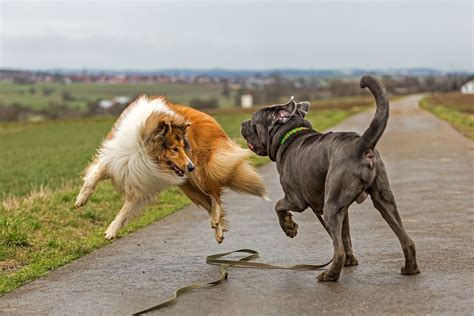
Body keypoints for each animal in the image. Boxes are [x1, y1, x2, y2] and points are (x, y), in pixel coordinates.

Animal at [243, 76, 420, 282]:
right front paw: (351, 261)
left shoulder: (295, 199)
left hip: (331, 207)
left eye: (253, 119)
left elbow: (278, 205)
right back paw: (410, 268)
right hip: (383, 199)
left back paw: (329, 274)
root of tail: (361, 144)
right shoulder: (343, 210)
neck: (289, 134)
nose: (242, 123)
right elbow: (345, 236)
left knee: (339, 251)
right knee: (406, 239)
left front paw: (289, 227)